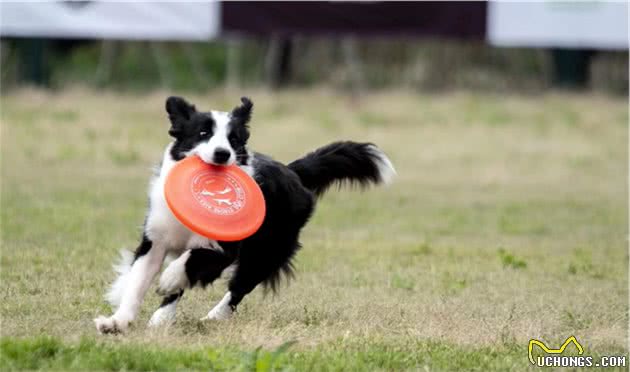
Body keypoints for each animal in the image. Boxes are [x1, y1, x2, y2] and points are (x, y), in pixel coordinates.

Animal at [94, 96, 396, 334]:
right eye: (202, 133)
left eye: (234, 139)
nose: (222, 153)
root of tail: (293, 172)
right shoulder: (154, 240)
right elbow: (137, 282)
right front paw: (116, 322)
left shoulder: (225, 248)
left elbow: (191, 261)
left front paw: (168, 279)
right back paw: (162, 317)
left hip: (267, 250)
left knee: (239, 287)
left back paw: (212, 317)